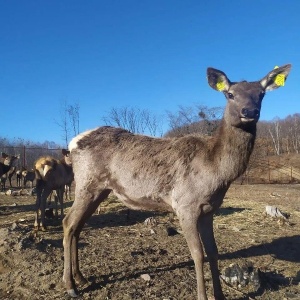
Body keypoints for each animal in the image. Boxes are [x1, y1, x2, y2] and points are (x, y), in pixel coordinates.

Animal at [62, 65, 290, 300]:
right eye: (230, 94)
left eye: (261, 94)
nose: (249, 112)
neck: (217, 172)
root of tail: (72, 144)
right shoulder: (185, 205)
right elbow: (197, 254)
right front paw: (202, 296)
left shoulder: (209, 210)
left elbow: (213, 252)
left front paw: (220, 295)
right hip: (87, 184)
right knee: (68, 222)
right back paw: (70, 285)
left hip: (100, 190)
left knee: (78, 225)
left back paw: (80, 277)